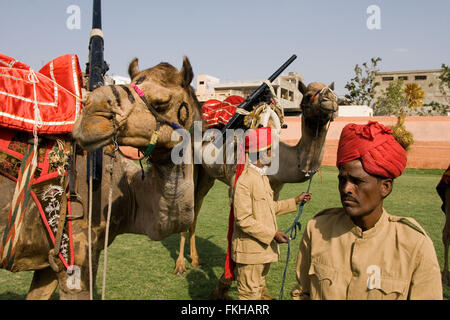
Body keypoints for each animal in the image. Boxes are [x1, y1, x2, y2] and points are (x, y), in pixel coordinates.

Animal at [172, 80, 338, 296]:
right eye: (308, 95)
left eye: (331, 90)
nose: (331, 99)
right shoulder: (236, 186)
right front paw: (223, 285)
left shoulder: (275, 188)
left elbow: (269, 219)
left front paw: (263, 289)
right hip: (190, 162)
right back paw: (180, 265)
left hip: (207, 176)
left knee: (197, 205)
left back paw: (196, 259)